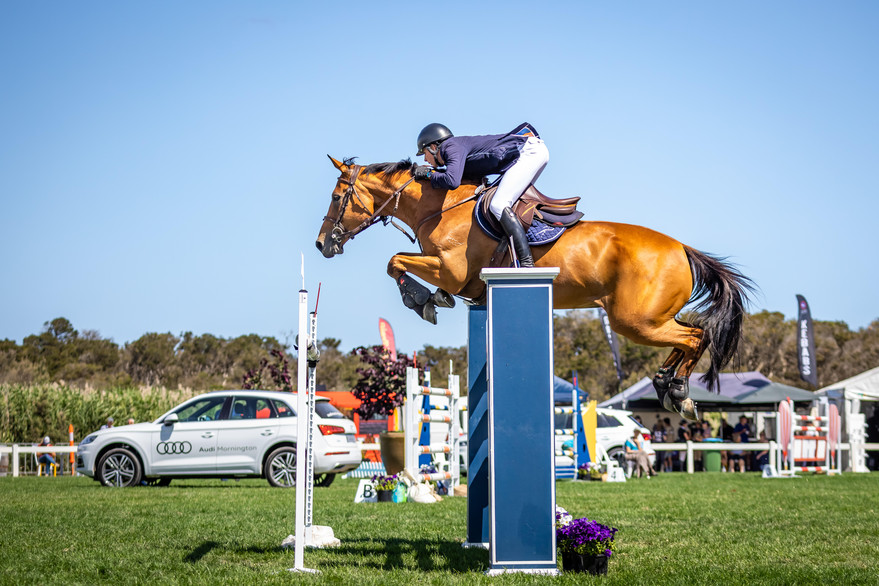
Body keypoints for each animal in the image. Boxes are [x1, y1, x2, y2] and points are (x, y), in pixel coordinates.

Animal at [316, 156, 756, 420]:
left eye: (337, 197)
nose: (322, 245)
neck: (439, 208)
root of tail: (683, 249)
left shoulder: (450, 270)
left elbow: (394, 262)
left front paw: (421, 300)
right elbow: (399, 262)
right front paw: (433, 299)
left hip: (634, 321)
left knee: (695, 336)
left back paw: (679, 392)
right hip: (649, 318)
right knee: (688, 335)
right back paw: (666, 386)